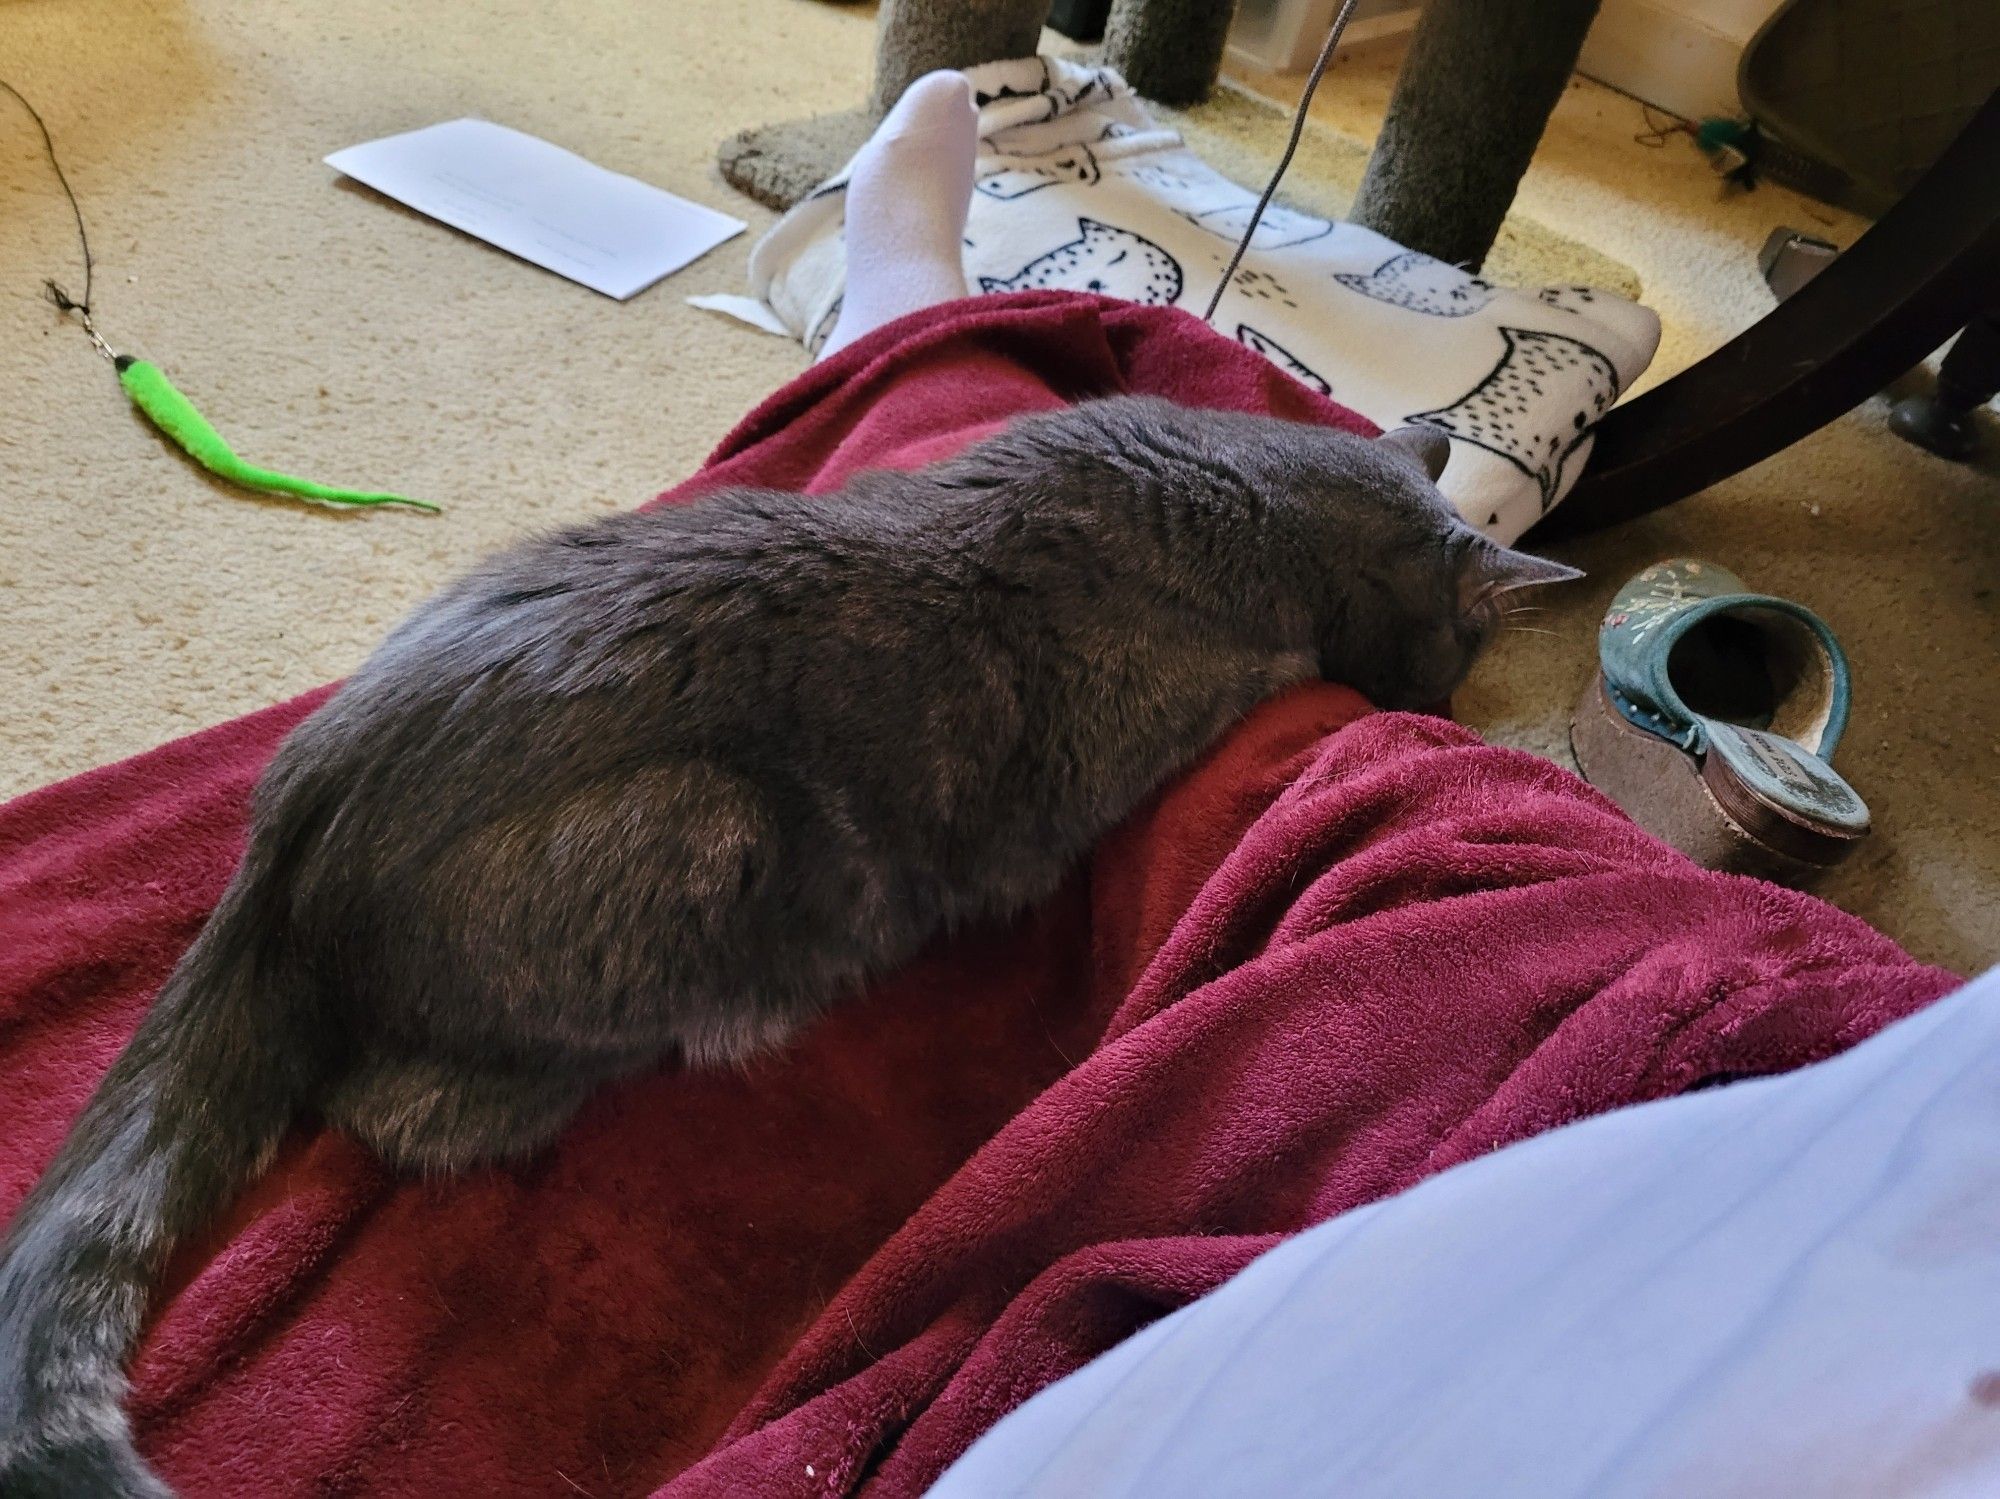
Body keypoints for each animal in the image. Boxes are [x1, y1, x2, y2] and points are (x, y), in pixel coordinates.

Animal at [0, 393, 1576, 1495]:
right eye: (1459, 658)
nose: (1446, 707)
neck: (1236, 486)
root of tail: (293, 828)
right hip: (700, 831)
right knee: (400, 1107)